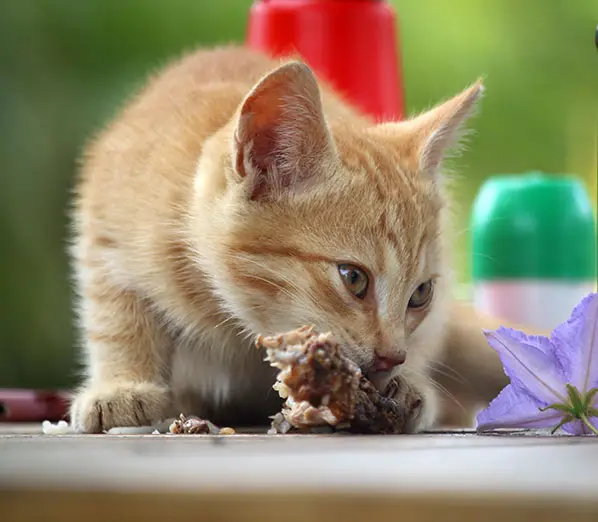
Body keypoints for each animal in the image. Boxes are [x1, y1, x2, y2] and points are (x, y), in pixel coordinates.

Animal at [70, 44, 528, 430]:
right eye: (353, 278)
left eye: (420, 294)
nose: (391, 357)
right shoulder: (105, 233)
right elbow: (116, 317)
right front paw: (122, 386)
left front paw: (409, 389)